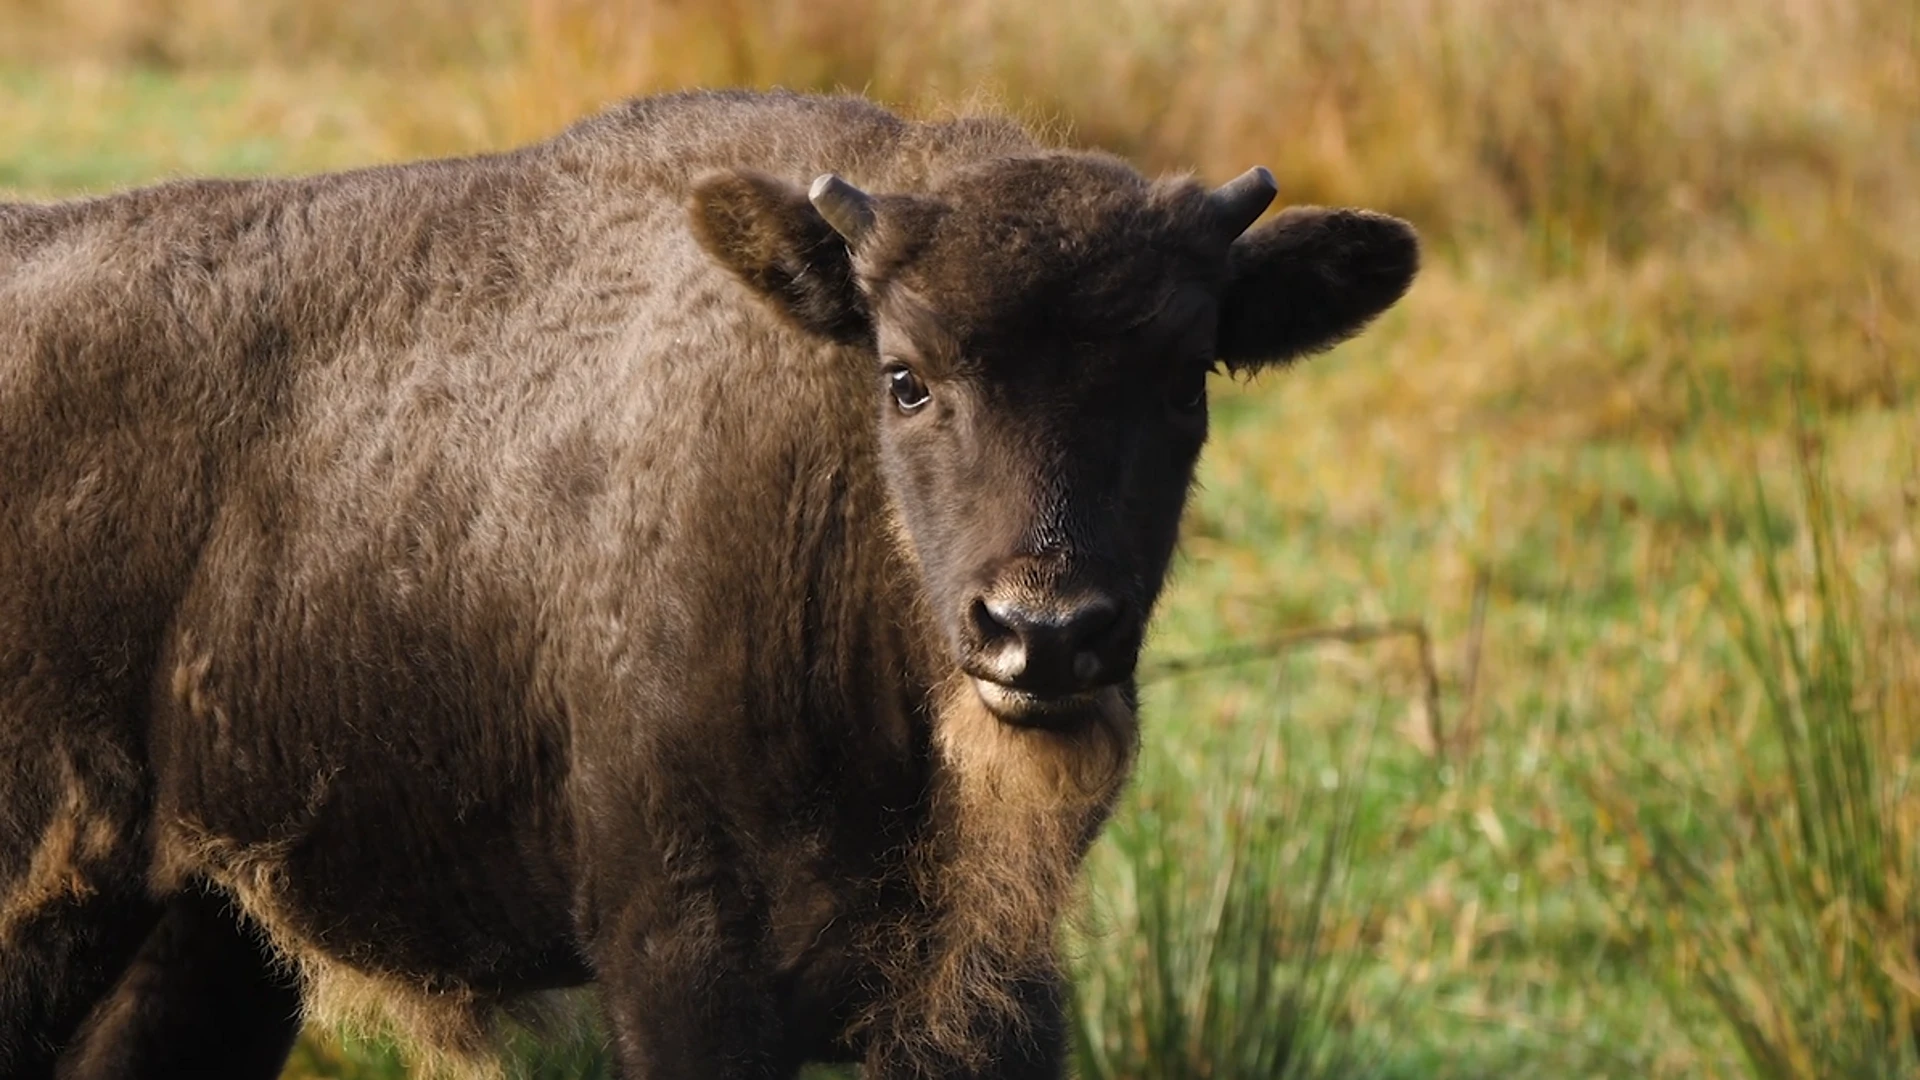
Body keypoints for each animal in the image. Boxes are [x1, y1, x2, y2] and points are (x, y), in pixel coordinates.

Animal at [0, 90, 1413, 1076]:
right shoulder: (686, 970)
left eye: (1186, 382)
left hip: (202, 932)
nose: (1043, 632)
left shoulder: (983, 986)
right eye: (906, 377)